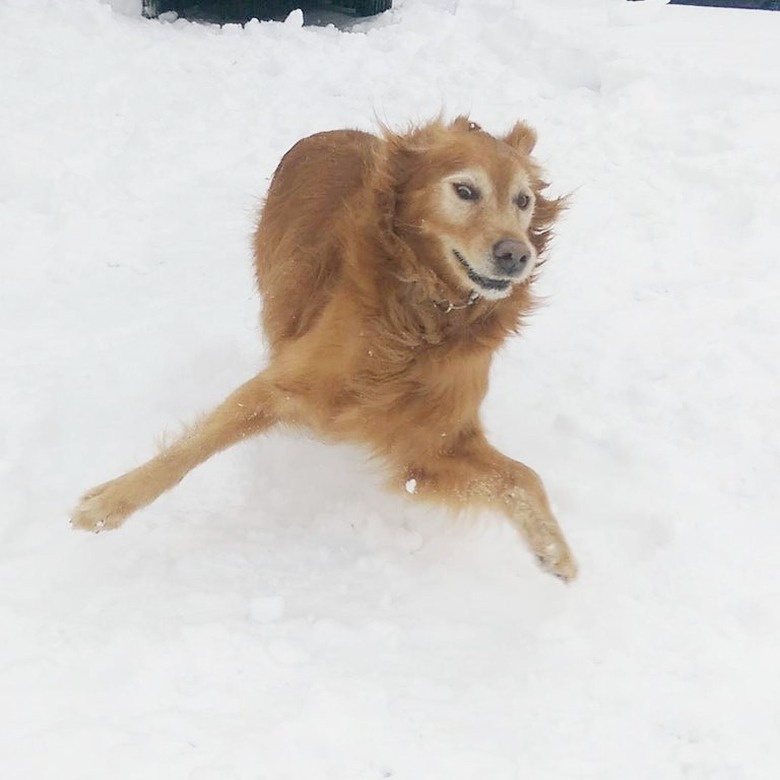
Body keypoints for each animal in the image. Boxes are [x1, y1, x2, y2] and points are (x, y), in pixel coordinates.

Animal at [70, 116, 576, 580]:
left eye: (523, 200)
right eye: (466, 191)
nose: (517, 254)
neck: (423, 317)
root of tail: (329, 131)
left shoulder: (433, 444)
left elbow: (523, 477)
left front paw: (553, 550)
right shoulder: (283, 384)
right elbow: (185, 451)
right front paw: (107, 503)